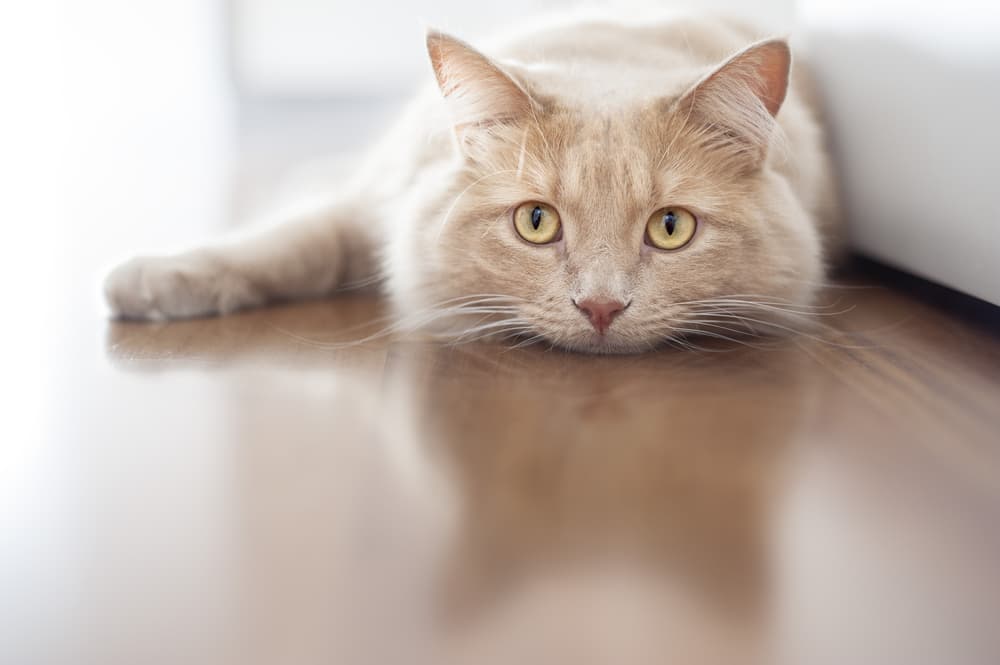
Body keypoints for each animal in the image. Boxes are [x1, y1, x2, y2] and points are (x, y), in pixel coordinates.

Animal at [103, 9, 836, 352]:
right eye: (537, 222)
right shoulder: (378, 202)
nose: (601, 308)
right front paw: (160, 279)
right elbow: (292, 243)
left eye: (671, 227)